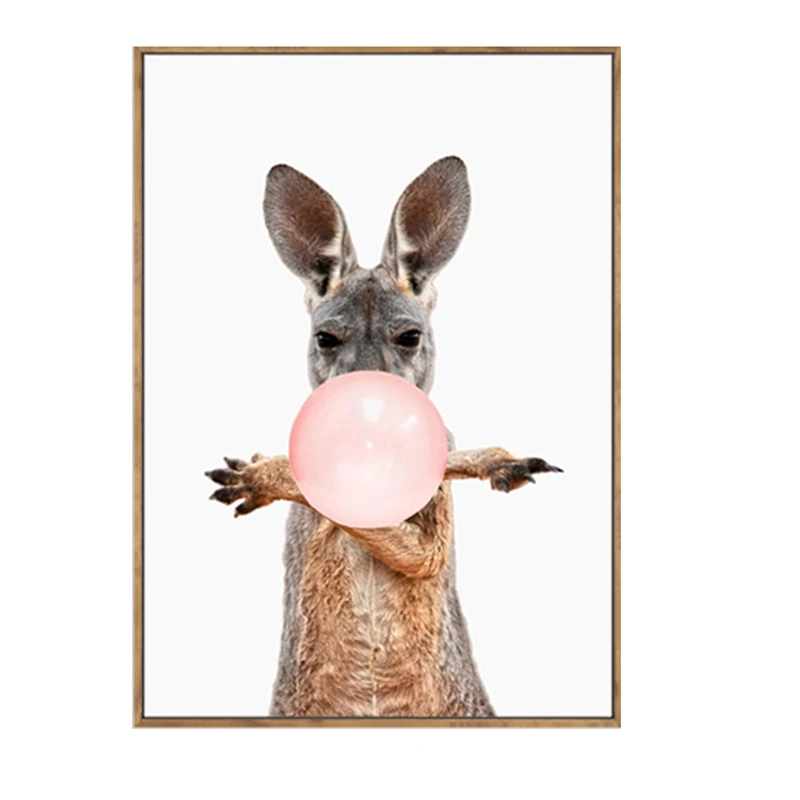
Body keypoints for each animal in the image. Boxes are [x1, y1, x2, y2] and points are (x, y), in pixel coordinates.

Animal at [206, 156, 562, 717]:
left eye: (410, 337)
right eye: (325, 338)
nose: (367, 413)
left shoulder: (432, 510)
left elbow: (422, 536)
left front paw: (501, 462)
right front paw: (261, 475)